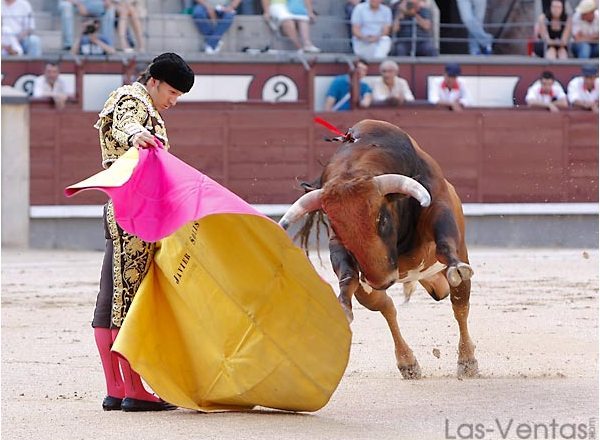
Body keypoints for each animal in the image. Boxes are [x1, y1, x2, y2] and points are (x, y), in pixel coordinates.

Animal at [280, 119, 478, 378]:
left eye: (382, 219)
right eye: (338, 227)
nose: (381, 280)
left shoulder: (438, 204)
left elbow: (445, 243)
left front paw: (455, 267)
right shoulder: (337, 244)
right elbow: (348, 275)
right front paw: (342, 304)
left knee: (459, 304)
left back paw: (467, 361)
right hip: (373, 292)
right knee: (387, 307)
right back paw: (407, 364)